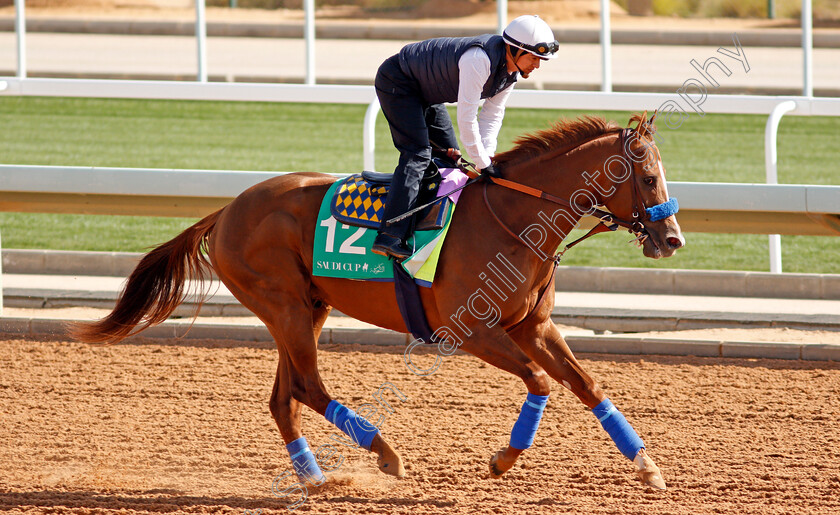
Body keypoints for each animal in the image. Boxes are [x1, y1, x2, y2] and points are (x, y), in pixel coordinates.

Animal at [70, 112, 684, 492]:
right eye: (648, 177)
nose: (672, 239)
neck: (514, 220)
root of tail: (227, 210)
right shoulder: (473, 331)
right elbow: (539, 381)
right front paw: (503, 459)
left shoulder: (532, 325)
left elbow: (588, 386)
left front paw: (649, 468)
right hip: (285, 306)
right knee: (308, 388)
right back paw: (385, 454)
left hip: (305, 309)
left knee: (284, 397)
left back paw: (315, 478)